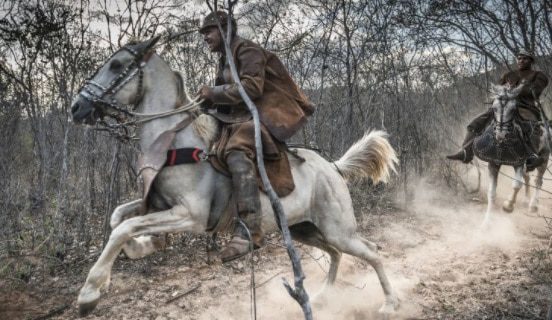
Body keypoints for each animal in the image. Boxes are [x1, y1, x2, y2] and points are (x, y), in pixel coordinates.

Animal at [71, 37, 402, 316]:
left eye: (116, 65)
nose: (77, 107)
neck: (175, 141)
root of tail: (332, 168)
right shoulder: (157, 204)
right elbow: (118, 218)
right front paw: (142, 246)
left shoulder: (190, 214)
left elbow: (122, 228)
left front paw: (89, 292)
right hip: (304, 229)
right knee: (335, 253)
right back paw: (321, 296)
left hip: (338, 229)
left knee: (371, 252)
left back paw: (390, 302)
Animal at [472, 84, 548, 225]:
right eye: (494, 108)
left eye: (513, 109)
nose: (500, 135)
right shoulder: (493, 164)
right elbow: (492, 193)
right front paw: (486, 223)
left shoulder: (519, 163)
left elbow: (517, 185)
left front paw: (508, 206)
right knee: (527, 177)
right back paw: (526, 199)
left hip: (544, 157)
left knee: (538, 180)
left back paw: (533, 205)